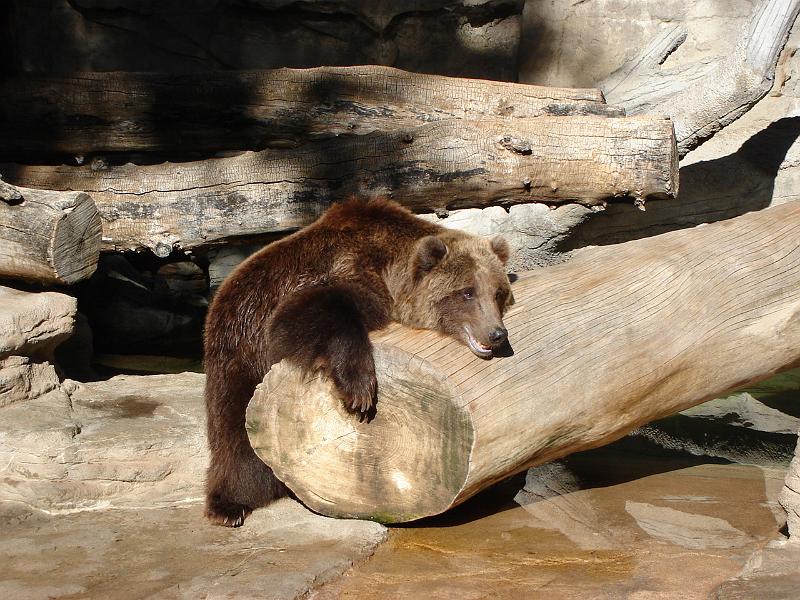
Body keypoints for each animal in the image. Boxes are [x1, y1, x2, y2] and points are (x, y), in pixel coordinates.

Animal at [204, 197, 513, 527]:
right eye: (467, 292)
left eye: (498, 292)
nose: (496, 333)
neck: (391, 272)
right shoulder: (343, 271)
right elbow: (308, 315)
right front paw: (360, 392)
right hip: (242, 354)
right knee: (236, 434)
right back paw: (230, 506)